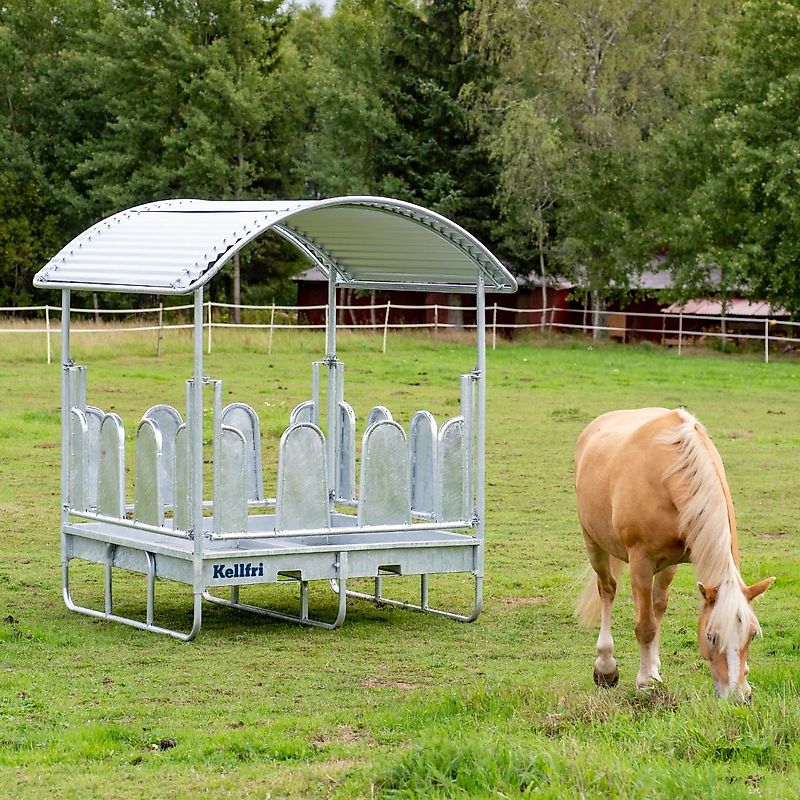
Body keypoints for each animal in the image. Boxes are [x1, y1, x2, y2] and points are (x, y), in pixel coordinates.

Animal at [576, 410, 776, 696]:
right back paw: (606, 665)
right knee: (607, 589)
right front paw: (644, 681)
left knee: (657, 603)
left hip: (667, 565)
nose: (736, 697)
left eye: (751, 635)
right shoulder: (640, 562)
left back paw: (653, 667)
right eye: (711, 636)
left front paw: (652, 673)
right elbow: (645, 626)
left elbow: (655, 614)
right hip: (594, 543)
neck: (667, 473)